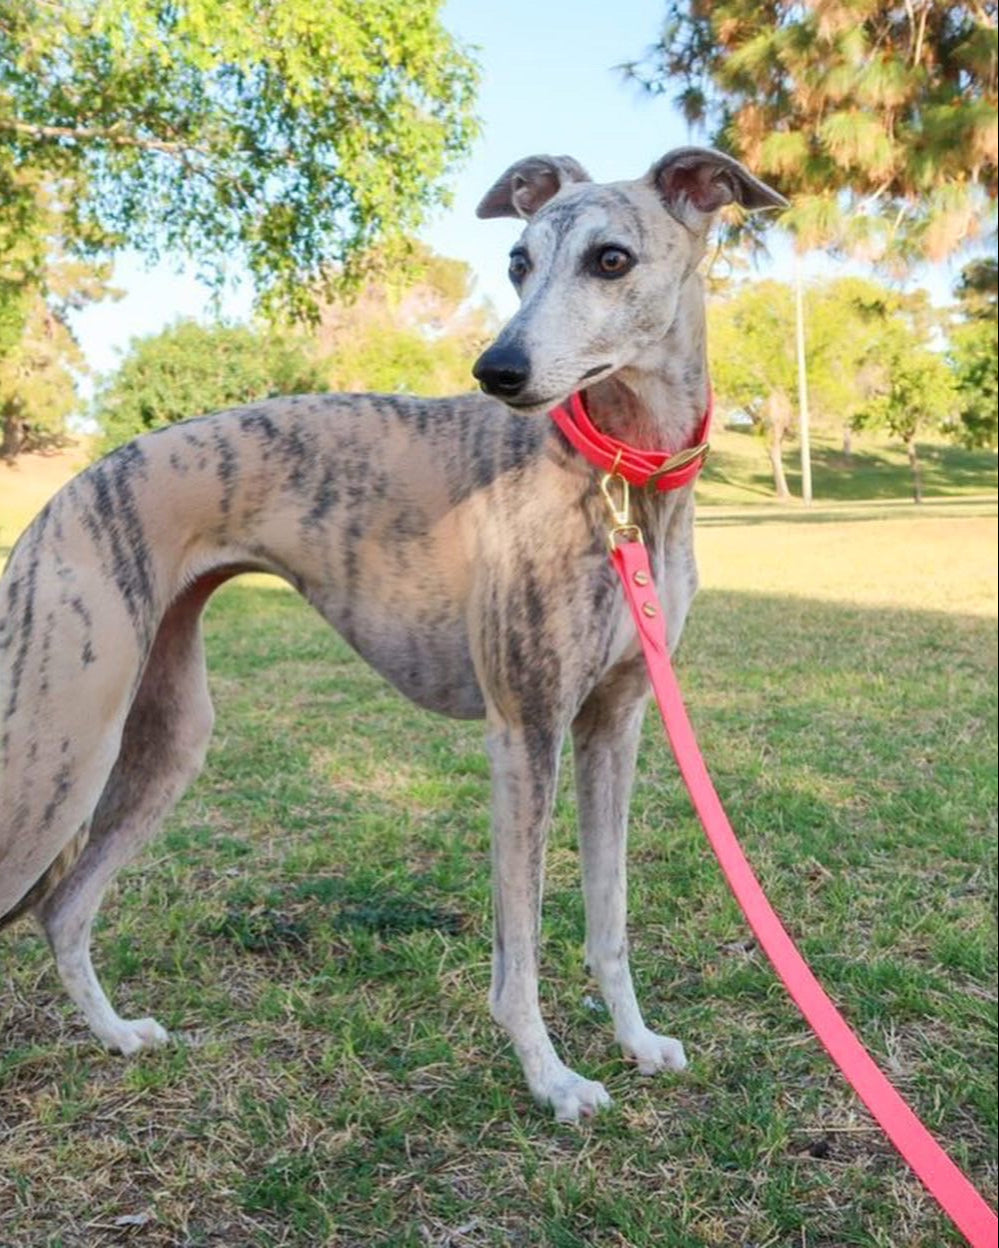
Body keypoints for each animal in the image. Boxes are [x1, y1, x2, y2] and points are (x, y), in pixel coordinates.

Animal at [0, 146, 784, 1123]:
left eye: (611, 259)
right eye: (518, 260)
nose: (497, 370)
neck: (620, 478)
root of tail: (56, 504)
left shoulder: (615, 722)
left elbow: (608, 911)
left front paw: (637, 1042)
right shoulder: (524, 733)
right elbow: (519, 948)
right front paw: (552, 1079)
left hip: (163, 736)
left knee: (64, 908)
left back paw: (116, 1035)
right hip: (56, 751)